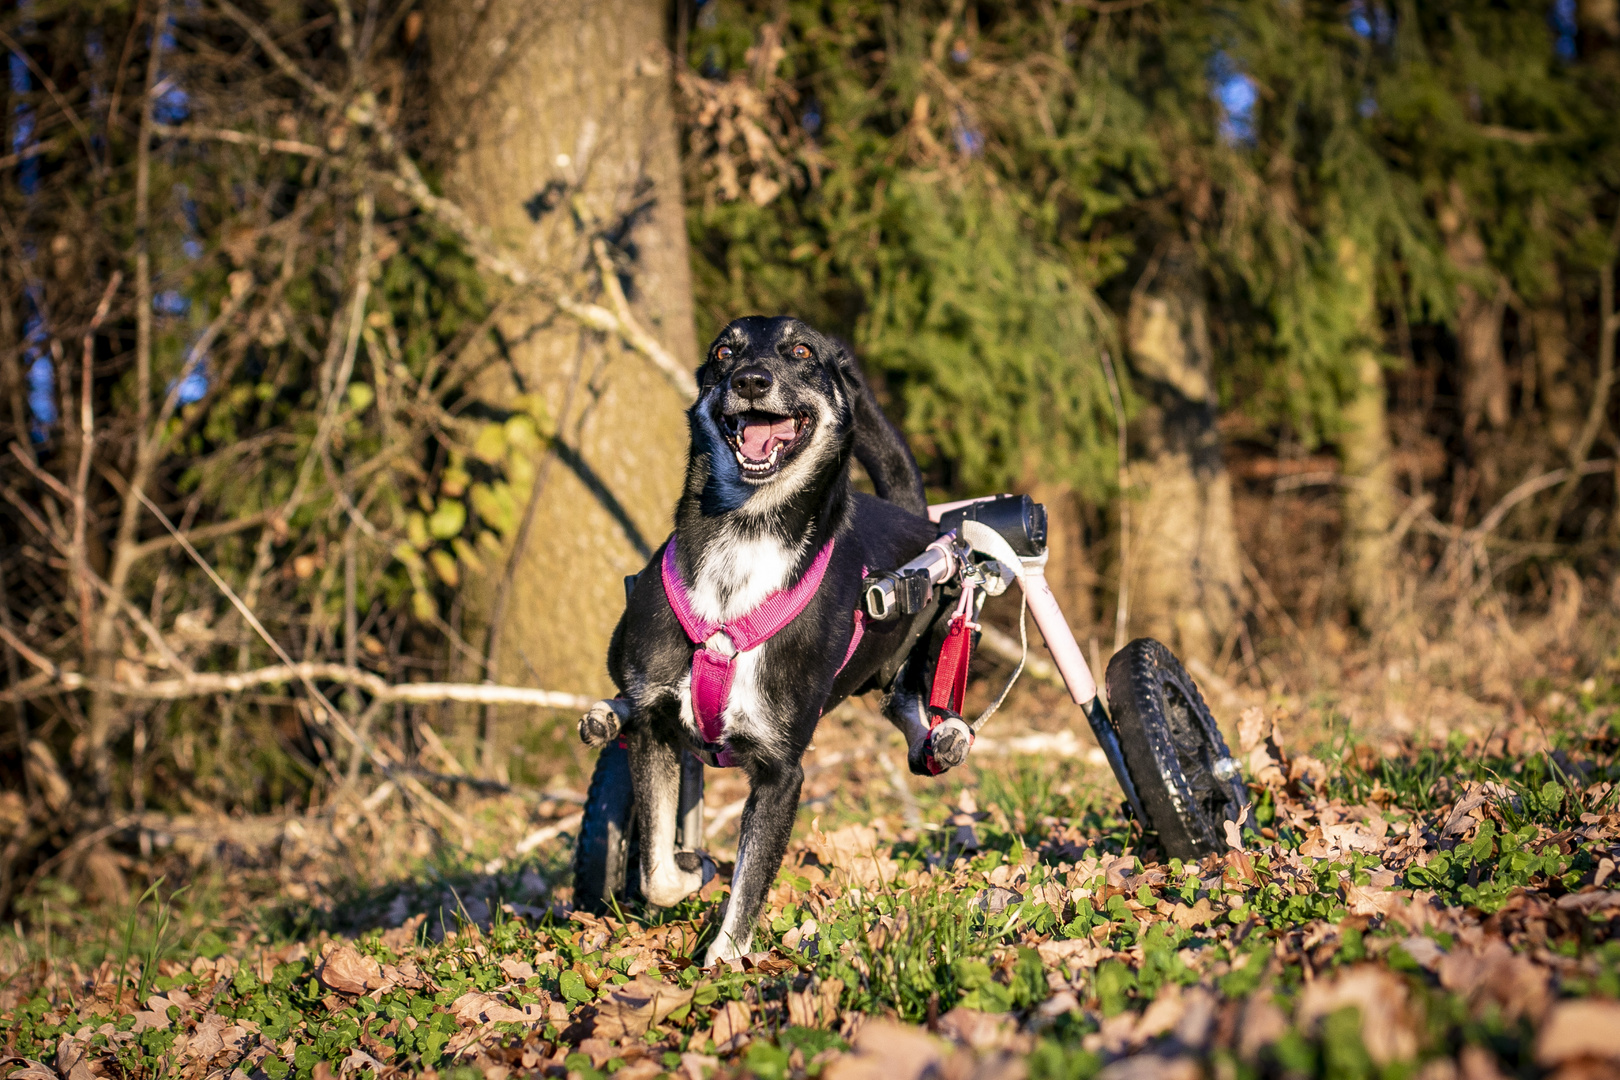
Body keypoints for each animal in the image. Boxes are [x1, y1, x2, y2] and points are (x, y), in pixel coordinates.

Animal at [576, 312, 965, 965]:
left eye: (801, 350)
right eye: (723, 352)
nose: (751, 381)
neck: (745, 537)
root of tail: (917, 517)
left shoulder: (782, 773)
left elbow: (748, 888)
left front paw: (723, 966)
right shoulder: (656, 731)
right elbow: (657, 871)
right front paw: (692, 869)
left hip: (942, 608)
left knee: (913, 697)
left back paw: (944, 735)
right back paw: (606, 716)